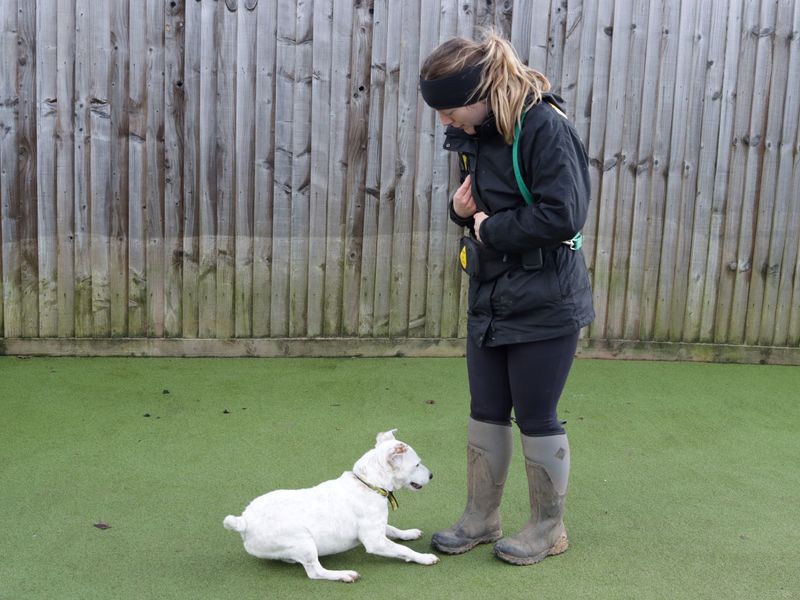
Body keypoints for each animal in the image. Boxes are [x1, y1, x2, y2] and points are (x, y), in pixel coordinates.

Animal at [223, 426, 438, 580]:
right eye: (417, 464)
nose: (431, 475)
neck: (368, 483)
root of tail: (244, 521)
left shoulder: (378, 527)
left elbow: (392, 529)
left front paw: (408, 533)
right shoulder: (375, 541)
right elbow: (403, 550)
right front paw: (423, 557)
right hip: (304, 541)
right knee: (315, 572)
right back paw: (343, 574)